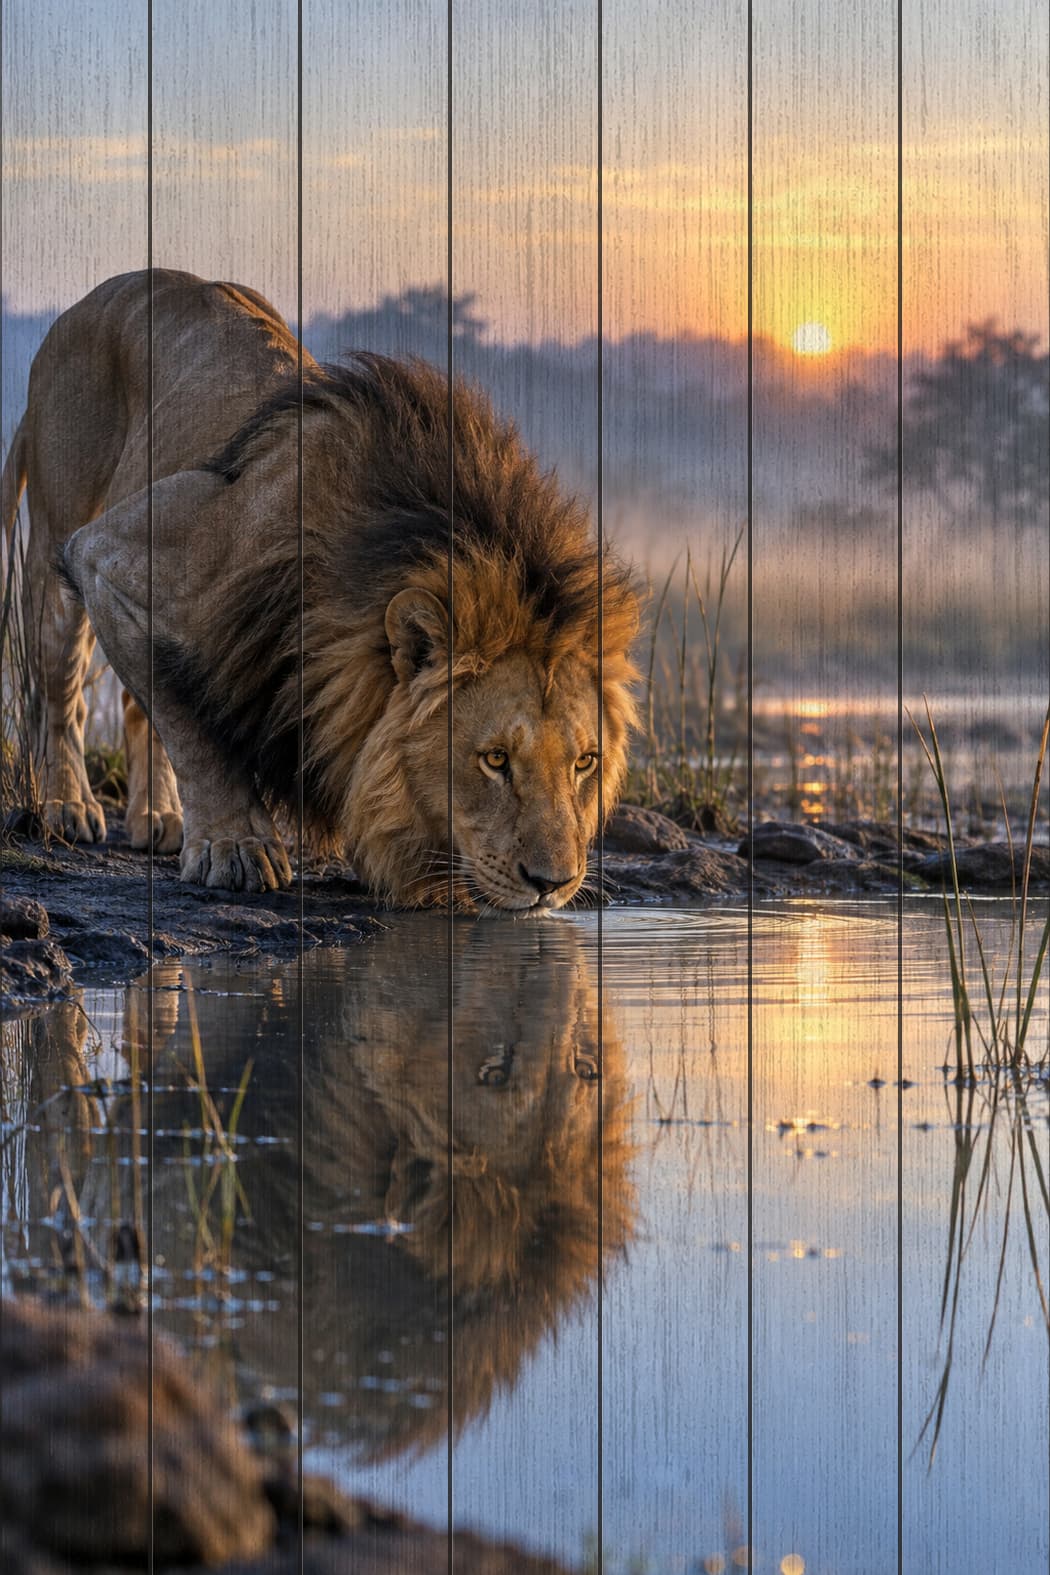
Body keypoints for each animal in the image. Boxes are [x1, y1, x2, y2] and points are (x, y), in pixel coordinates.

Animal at [1, 269, 640, 910]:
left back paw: (158, 817)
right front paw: (239, 845)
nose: (554, 885)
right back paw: (66, 806)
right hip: (58, 545)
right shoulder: (109, 556)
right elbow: (198, 730)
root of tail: (83, 306)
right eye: (495, 759)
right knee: (63, 693)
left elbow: (175, 709)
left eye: (586, 762)